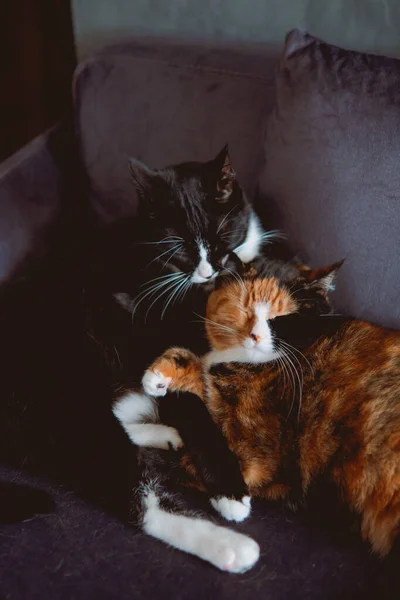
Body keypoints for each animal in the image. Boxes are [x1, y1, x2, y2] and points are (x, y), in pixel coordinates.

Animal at [112, 258, 400, 572]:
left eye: (281, 317)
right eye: (244, 309)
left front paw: (229, 497)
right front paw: (162, 374)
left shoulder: (250, 455)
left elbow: (193, 424)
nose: (255, 336)